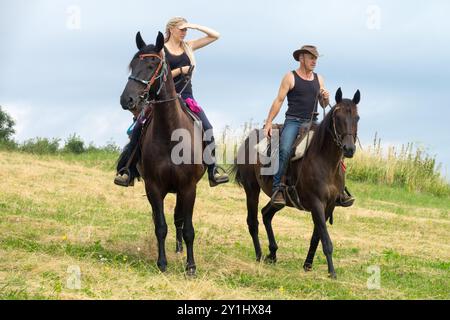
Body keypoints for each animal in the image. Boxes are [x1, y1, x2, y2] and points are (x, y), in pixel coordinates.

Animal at [119, 32, 204, 276]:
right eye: (133, 65)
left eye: (152, 65)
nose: (127, 100)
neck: (170, 135)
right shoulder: (154, 188)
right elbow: (160, 226)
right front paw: (162, 263)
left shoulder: (188, 187)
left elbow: (188, 228)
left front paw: (191, 267)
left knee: (179, 219)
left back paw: (180, 250)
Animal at [230, 87, 360, 278]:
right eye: (338, 117)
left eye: (357, 118)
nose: (349, 149)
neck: (325, 161)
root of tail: (248, 140)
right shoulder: (316, 203)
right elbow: (326, 240)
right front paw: (332, 273)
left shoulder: (329, 206)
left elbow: (316, 237)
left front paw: (308, 265)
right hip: (251, 189)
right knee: (253, 222)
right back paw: (260, 255)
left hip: (280, 199)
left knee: (266, 214)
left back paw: (272, 253)